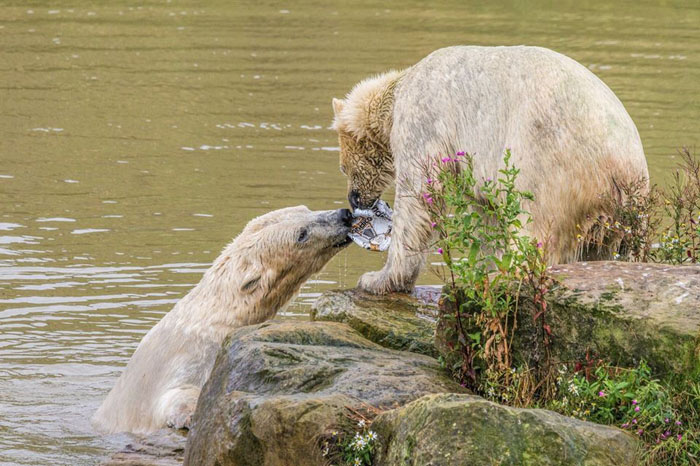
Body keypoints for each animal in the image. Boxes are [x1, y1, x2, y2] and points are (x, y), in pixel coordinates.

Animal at [93, 208, 352, 434]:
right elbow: (176, 397)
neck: (213, 320)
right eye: (302, 234)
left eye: (306, 208)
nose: (345, 214)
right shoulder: (188, 360)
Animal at [330, 46, 648, 294]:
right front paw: (482, 264)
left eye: (344, 168)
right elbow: (486, 212)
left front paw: (377, 279)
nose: (354, 199)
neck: (399, 89)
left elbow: (419, 197)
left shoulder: (423, 121)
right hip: (622, 212)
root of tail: (620, 166)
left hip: (546, 156)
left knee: (533, 219)